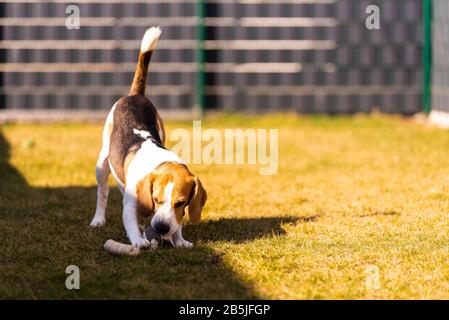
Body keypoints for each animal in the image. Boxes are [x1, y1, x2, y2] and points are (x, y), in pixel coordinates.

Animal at [89, 26, 208, 248]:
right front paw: (139, 241)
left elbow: (178, 224)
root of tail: (136, 95)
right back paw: (98, 220)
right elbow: (130, 221)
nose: (161, 228)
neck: (159, 162)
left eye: (181, 203)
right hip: (102, 164)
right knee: (103, 192)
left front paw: (180, 240)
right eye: (156, 199)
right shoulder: (130, 205)